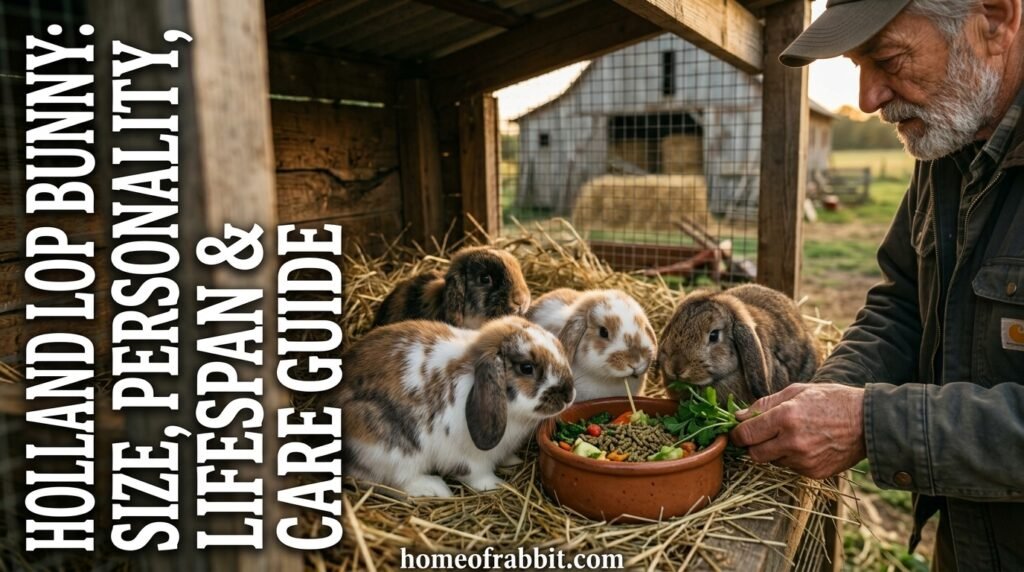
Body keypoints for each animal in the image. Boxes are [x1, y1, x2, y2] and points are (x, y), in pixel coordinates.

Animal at [333, 316, 575, 498]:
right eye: (527, 368)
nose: (569, 394)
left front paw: (512, 461)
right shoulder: (467, 457)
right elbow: (476, 474)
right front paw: (495, 485)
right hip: (389, 450)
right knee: (396, 480)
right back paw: (435, 488)